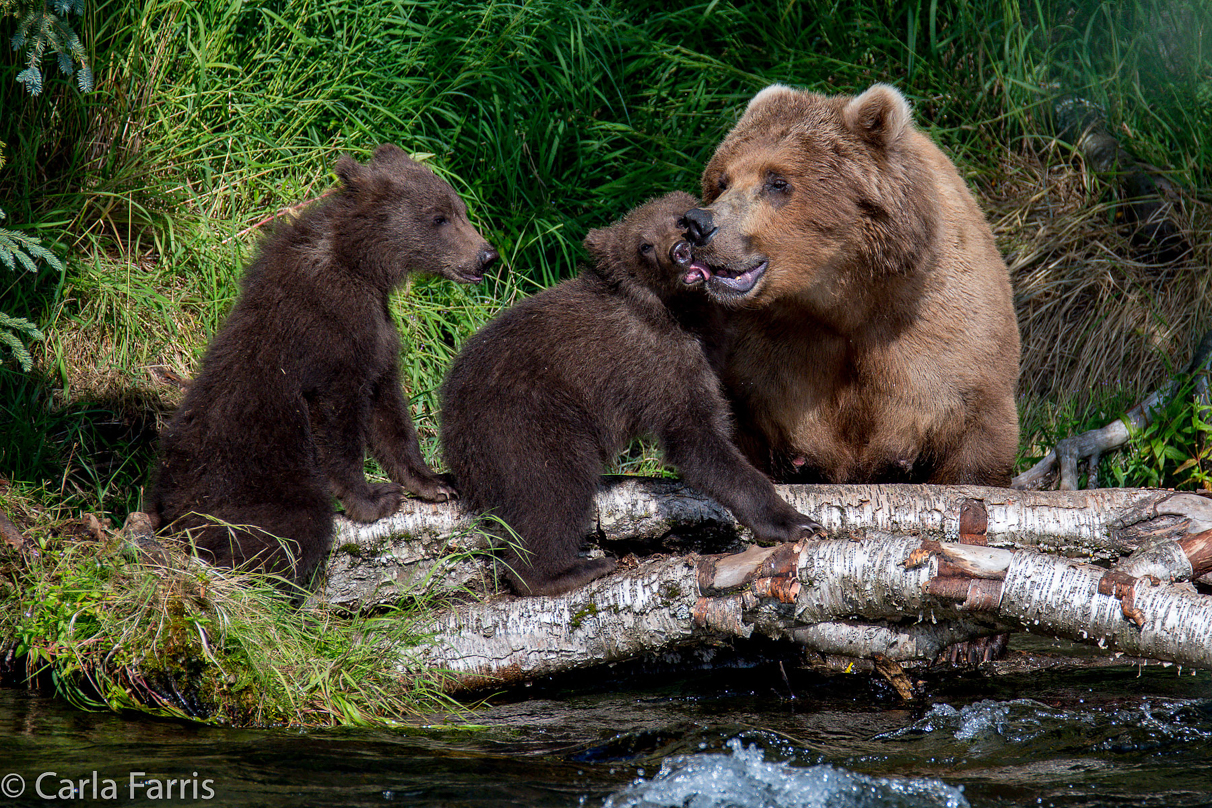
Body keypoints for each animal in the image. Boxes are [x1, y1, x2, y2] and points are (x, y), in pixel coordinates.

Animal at [151, 143, 496, 588]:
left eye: (460, 209)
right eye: (438, 217)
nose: (486, 255)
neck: (361, 266)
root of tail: (167, 509)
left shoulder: (377, 335)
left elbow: (388, 410)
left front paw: (436, 482)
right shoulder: (330, 335)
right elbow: (339, 422)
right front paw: (374, 499)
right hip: (249, 481)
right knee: (291, 528)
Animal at [438, 190, 824, 593]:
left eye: (681, 220)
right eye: (644, 245)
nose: (680, 250)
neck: (681, 312)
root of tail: (450, 420)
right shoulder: (659, 365)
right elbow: (699, 439)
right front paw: (795, 520)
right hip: (526, 420)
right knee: (551, 489)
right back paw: (569, 570)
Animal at [688, 82, 1018, 486]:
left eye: (777, 181)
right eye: (721, 181)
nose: (698, 223)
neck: (845, 300)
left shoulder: (945, 342)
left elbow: (974, 439)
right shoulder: (762, 355)